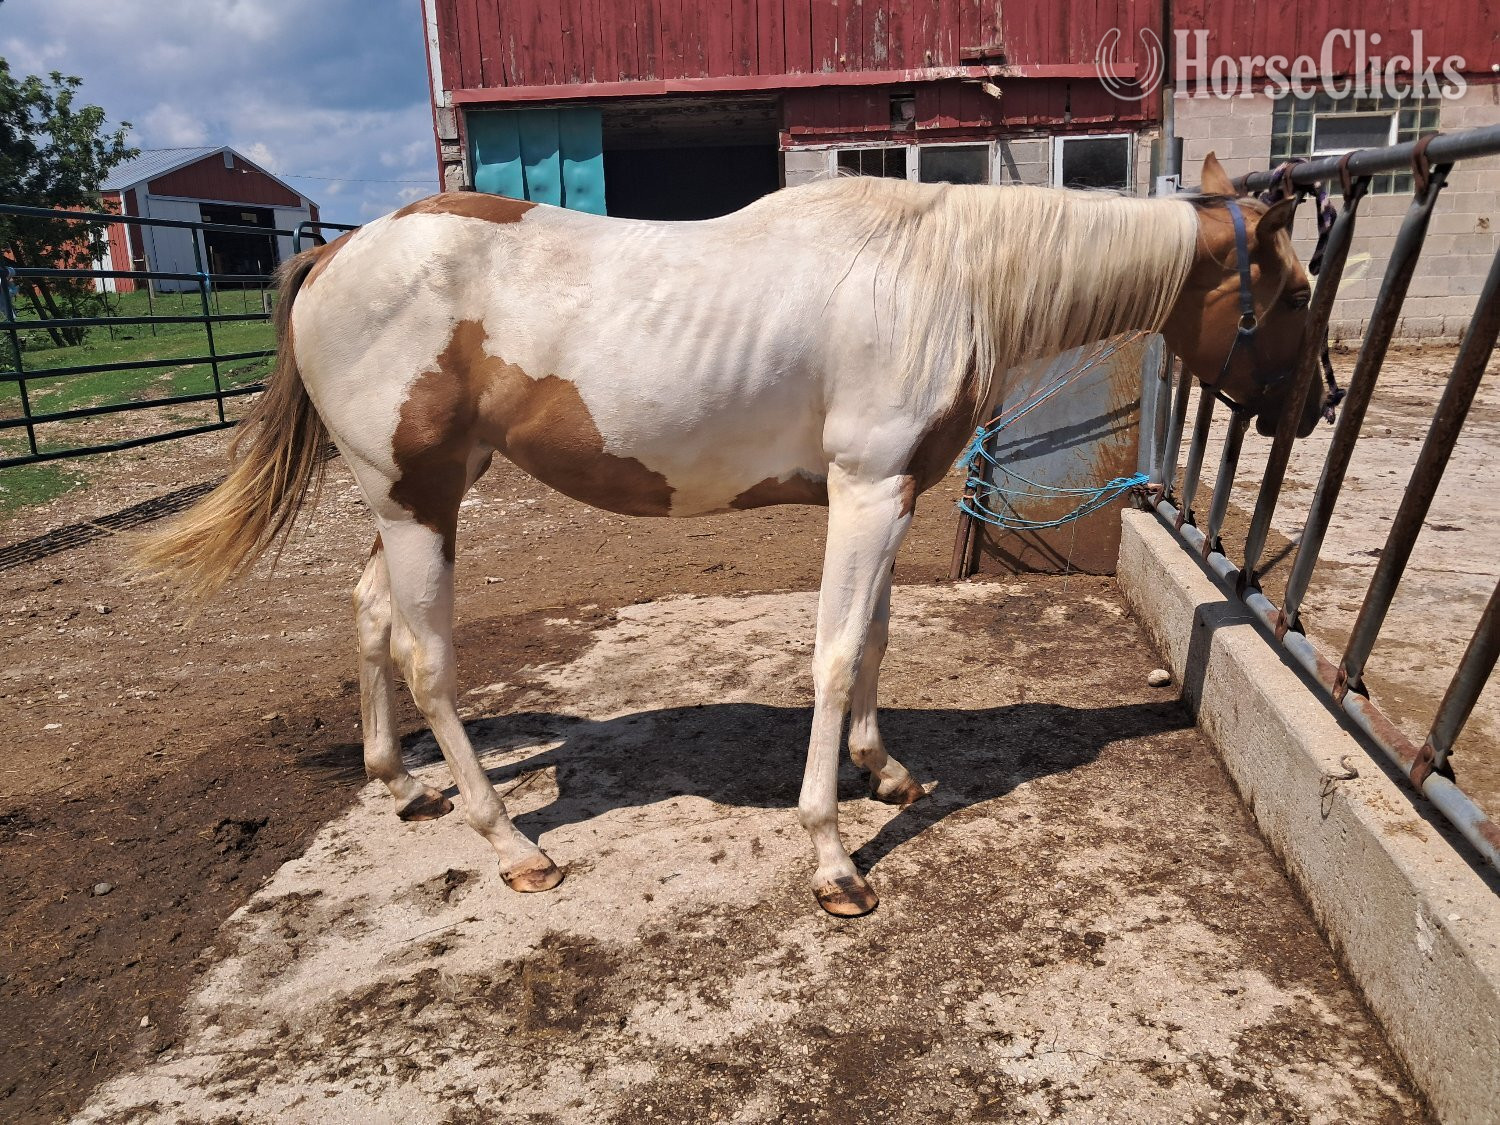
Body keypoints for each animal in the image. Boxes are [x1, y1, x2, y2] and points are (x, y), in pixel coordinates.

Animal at [134, 152, 1315, 917]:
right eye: (1298, 294)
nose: (1319, 407)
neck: (933, 276)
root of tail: (334, 261)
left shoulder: (890, 497)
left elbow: (875, 640)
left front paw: (888, 774)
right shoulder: (867, 492)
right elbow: (834, 656)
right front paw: (833, 857)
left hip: (420, 495)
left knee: (370, 613)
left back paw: (401, 785)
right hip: (416, 500)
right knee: (429, 660)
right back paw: (510, 843)